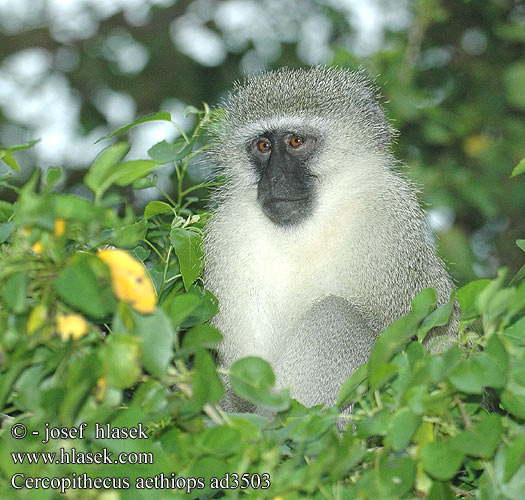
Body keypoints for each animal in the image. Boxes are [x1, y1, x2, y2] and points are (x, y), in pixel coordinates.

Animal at [203, 65, 456, 410]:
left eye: (296, 141)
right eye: (263, 146)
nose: (274, 178)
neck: (307, 229)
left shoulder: (388, 218)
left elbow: (433, 338)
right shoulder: (229, 234)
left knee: (335, 313)